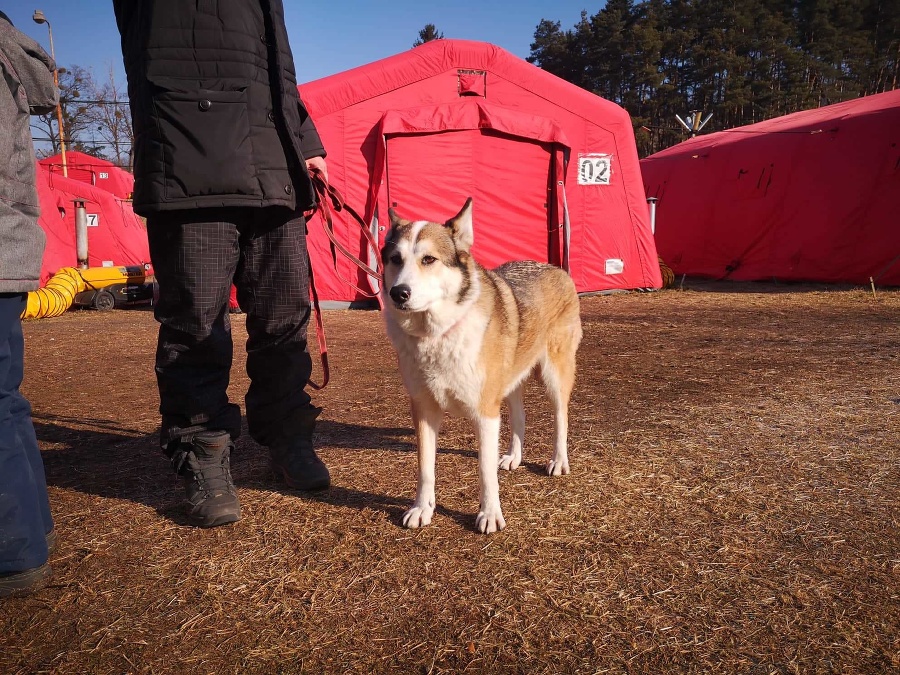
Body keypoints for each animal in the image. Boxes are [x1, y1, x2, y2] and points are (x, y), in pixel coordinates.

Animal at [380, 199, 584, 532]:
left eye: (428, 259)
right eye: (395, 260)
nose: (398, 293)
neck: (437, 334)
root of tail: (554, 268)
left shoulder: (485, 413)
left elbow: (485, 473)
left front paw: (489, 514)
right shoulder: (423, 410)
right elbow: (425, 469)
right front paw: (422, 508)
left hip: (554, 377)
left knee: (560, 419)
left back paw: (558, 461)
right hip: (510, 383)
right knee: (519, 417)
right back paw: (513, 457)